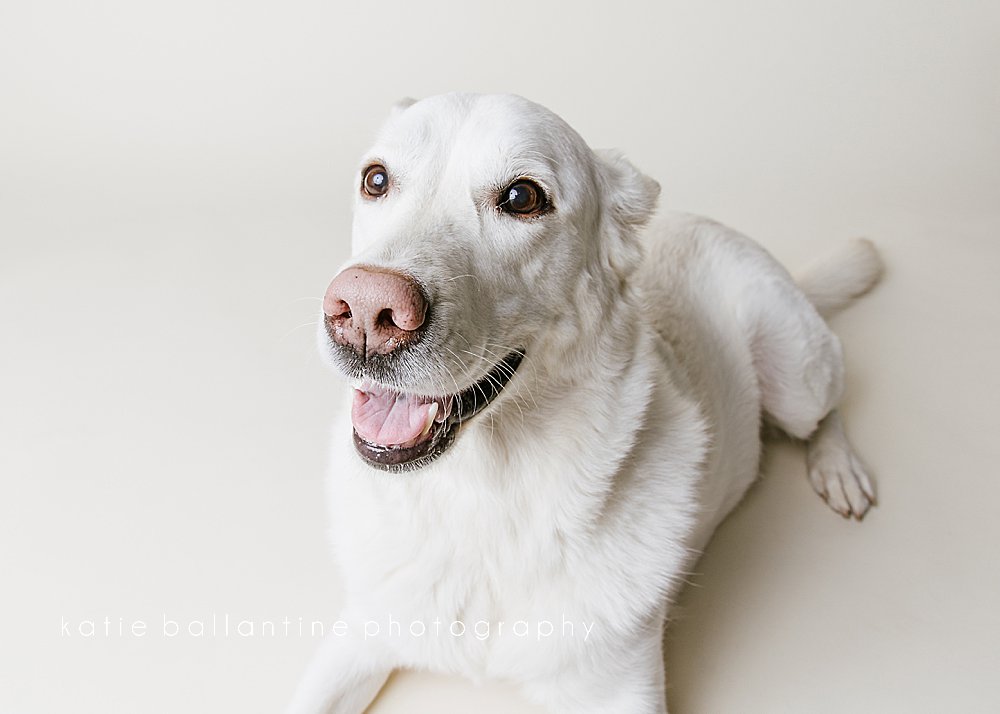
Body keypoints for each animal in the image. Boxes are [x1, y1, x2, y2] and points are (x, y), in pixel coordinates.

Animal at [286, 93, 880, 712]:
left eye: (522, 197)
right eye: (376, 179)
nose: (365, 309)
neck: (482, 503)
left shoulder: (622, 692)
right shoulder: (362, 631)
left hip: (795, 377)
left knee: (831, 399)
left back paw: (838, 469)